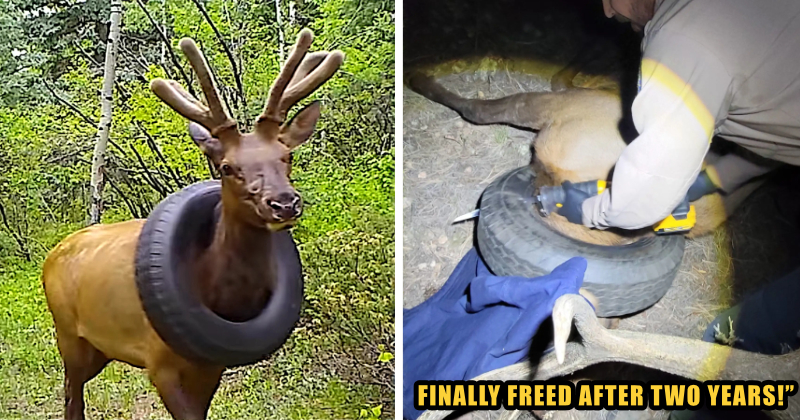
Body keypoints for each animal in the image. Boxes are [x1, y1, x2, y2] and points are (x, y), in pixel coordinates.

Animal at [41, 29, 343, 420]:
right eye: (227, 167)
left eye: (286, 155)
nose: (284, 203)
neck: (215, 290)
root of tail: (53, 254)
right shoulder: (159, 362)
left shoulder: (211, 364)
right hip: (68, 333)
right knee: (71, 394)